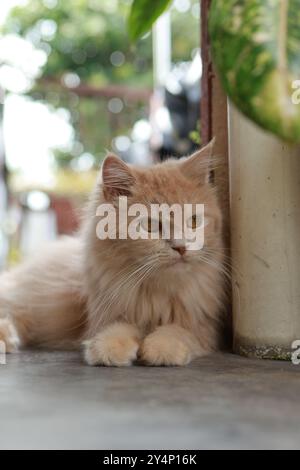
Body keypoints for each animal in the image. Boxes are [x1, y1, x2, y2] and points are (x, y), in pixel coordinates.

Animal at [0, 140, 225, 368]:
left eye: (194, 221)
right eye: (150, 225)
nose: (181, 247)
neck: (155, 295)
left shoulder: (206, 326)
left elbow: (179, 331)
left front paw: (161, 347)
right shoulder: (106, 314)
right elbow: (118, 328)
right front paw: (108, 347)